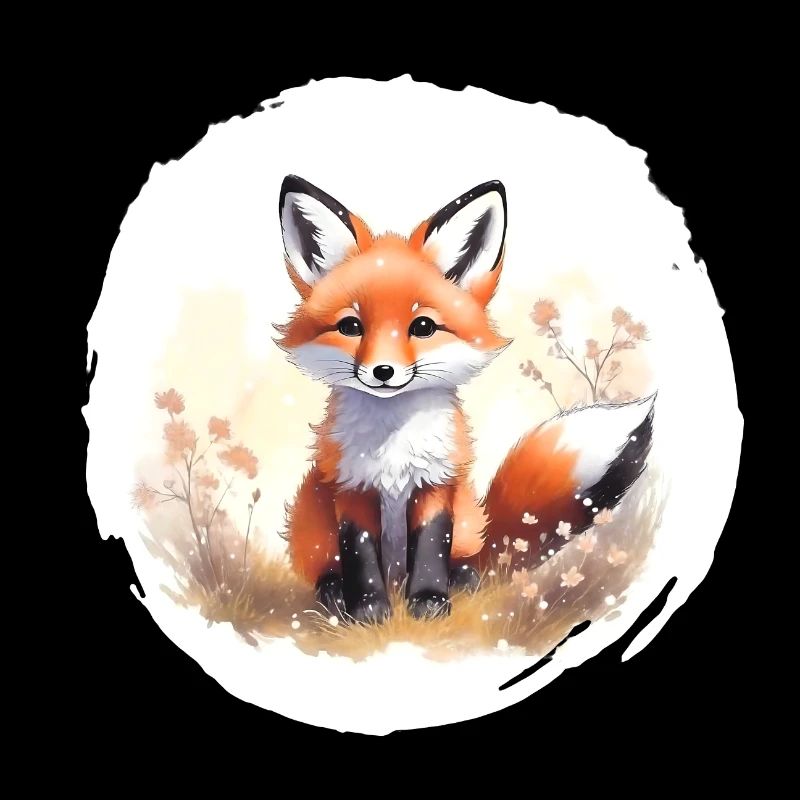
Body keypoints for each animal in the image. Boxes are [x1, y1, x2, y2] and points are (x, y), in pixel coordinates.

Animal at [276, 175, 654, 624]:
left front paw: (429, 601)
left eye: (423, 326)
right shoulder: (352, 487)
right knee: (328, 568)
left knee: (469, 560)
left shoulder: (437, 482)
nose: (382, 372)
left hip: (469, 521)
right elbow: (361, 554)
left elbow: (430, 547)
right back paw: (334, 593)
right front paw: (368, 610)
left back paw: (461, 580)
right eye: (351, 326)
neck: (393, 445)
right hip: (310, 520)